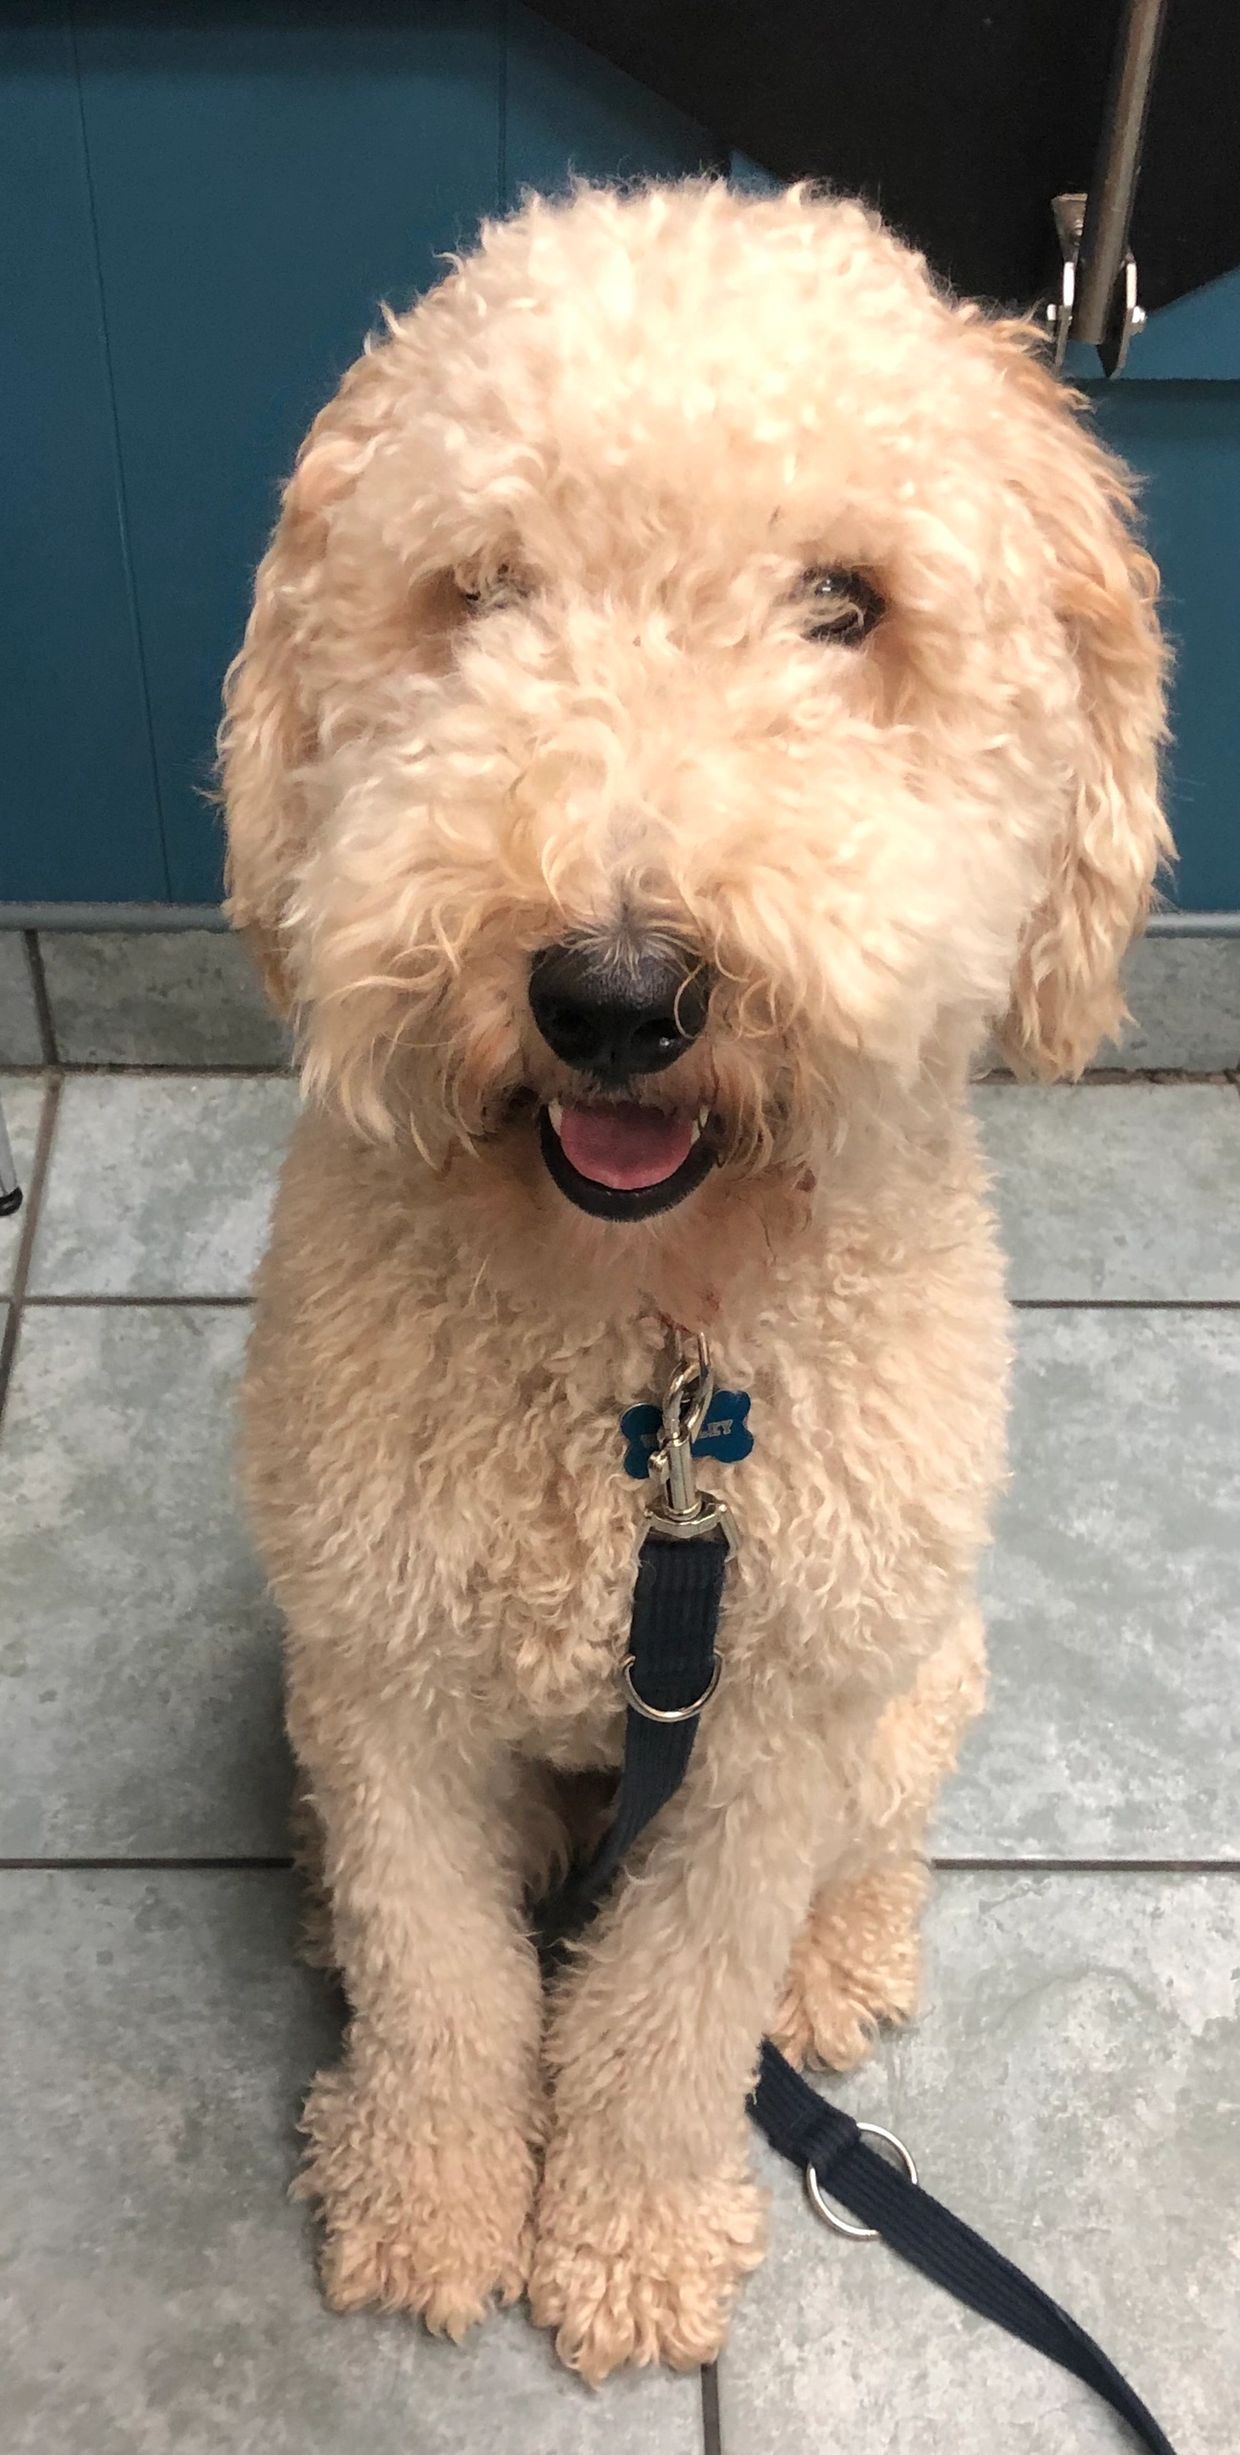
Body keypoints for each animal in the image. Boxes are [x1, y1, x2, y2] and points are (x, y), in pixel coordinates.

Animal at [217, 177, 1163, 2376]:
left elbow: (665, 2018)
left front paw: (630, 2243)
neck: (641, 1373)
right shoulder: (383, 1683)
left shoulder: (763, 1739)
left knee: (874, 1852)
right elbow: (441, 1977)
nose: (616, 993)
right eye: (480, 592)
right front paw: (429, 2203)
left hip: (911, 1674)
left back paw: (834, 1977)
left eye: (848, 604)